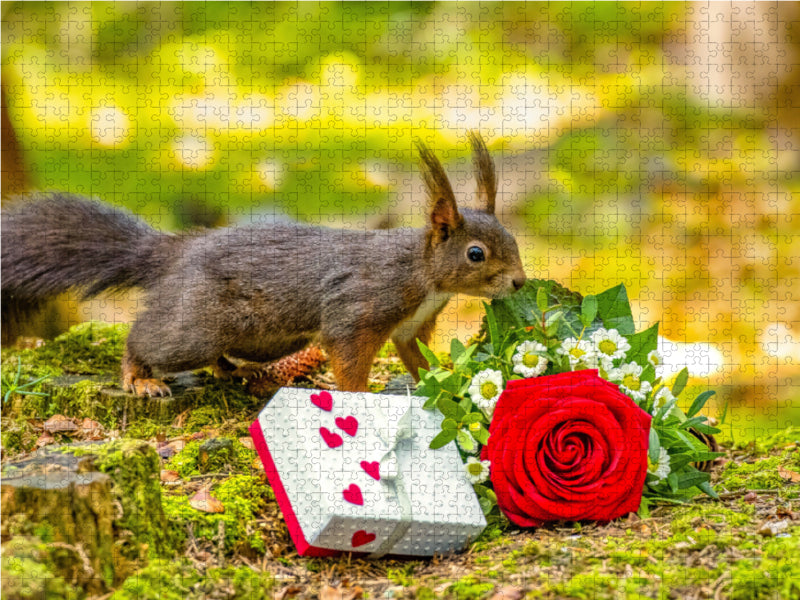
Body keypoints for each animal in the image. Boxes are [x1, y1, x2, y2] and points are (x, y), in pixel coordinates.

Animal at [2, 132, 527, 396]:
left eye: (513, 240)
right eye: (475, 254)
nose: (521, 282)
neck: (424, 275)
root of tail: (175, 252)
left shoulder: (410, 327)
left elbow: (417, 359)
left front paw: (445, 381)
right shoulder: (358, 308)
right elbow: (348, 359)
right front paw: (362, 397)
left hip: (266, 338)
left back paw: (233, 371)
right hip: (196, 324)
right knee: (149, 338)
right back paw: (139, 378)